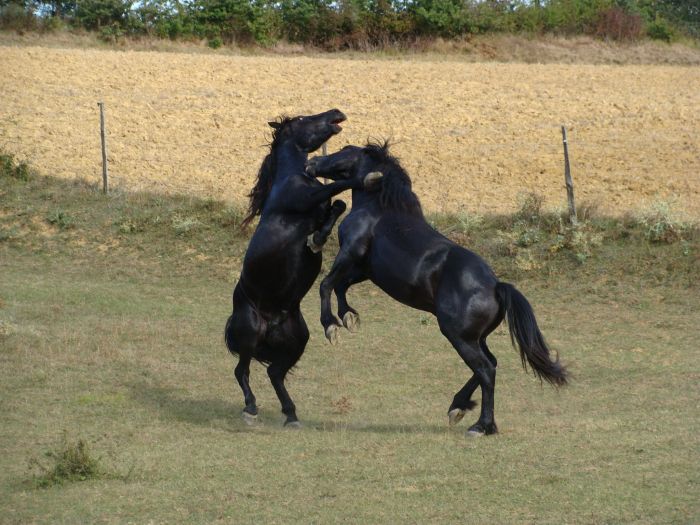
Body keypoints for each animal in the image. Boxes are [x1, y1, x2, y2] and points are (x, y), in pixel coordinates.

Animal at [224, 109, 378, 426]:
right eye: (304, 119)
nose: (337, 112)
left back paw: (291, 414)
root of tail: (270, 323)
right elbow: (338, 187)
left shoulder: (320, 206)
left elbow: (338, 205)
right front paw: (367, 177)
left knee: (274, 373)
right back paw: (250, 409)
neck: (290, 178)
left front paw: (316, 241)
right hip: (250, 332)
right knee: (242, 370)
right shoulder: (306, 198)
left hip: (298, 340)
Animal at [308, 141, 568, 436]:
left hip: (458, 335)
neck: (380, 210)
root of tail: (496, 286)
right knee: (491, 363)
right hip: (475, 337)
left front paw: (331, 325)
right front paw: (349, 317)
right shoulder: (366, 270)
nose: (312, 163)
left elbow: (327, 284)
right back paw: (458, 407)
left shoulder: (351, 252)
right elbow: (341, 286)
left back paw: (481, 425)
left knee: (486, 369)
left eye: (343, 150)